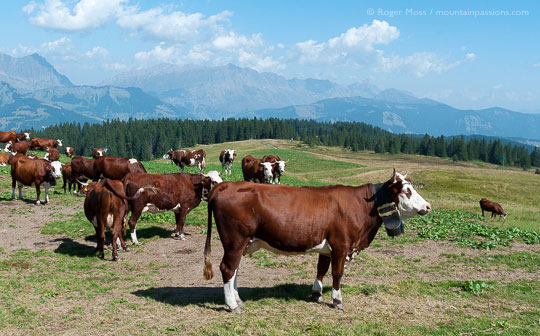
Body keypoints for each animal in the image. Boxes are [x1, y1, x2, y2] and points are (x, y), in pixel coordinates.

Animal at [205, 169, 432, 314]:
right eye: (407, 191)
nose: (428, 206)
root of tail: (225, 186)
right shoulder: (341, 245)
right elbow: (337, 273)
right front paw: (337, 300)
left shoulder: (327, 247)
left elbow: (321, 269)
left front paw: (317, 294)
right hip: (235, 240)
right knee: (227, 268)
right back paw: (232, 305)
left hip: (240, 243)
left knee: (235, 269)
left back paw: (237, 299)